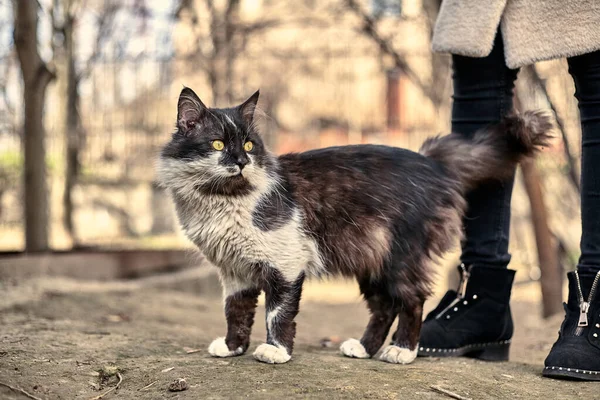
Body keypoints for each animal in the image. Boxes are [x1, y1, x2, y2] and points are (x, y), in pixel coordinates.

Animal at [156, 87, 552, 366]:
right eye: (218, 144)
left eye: (250, 145)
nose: (241, 161)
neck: (224, 199)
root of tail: (431, 161)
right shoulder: (235, 272)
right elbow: (235, 311)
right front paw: (232, 347)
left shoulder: (286, 263)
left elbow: (277, 313)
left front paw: (276, 352)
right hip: (371, 260)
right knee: (384, 308)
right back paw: (363, 348)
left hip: (400, 258)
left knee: (412, 301)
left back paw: (402, 351)